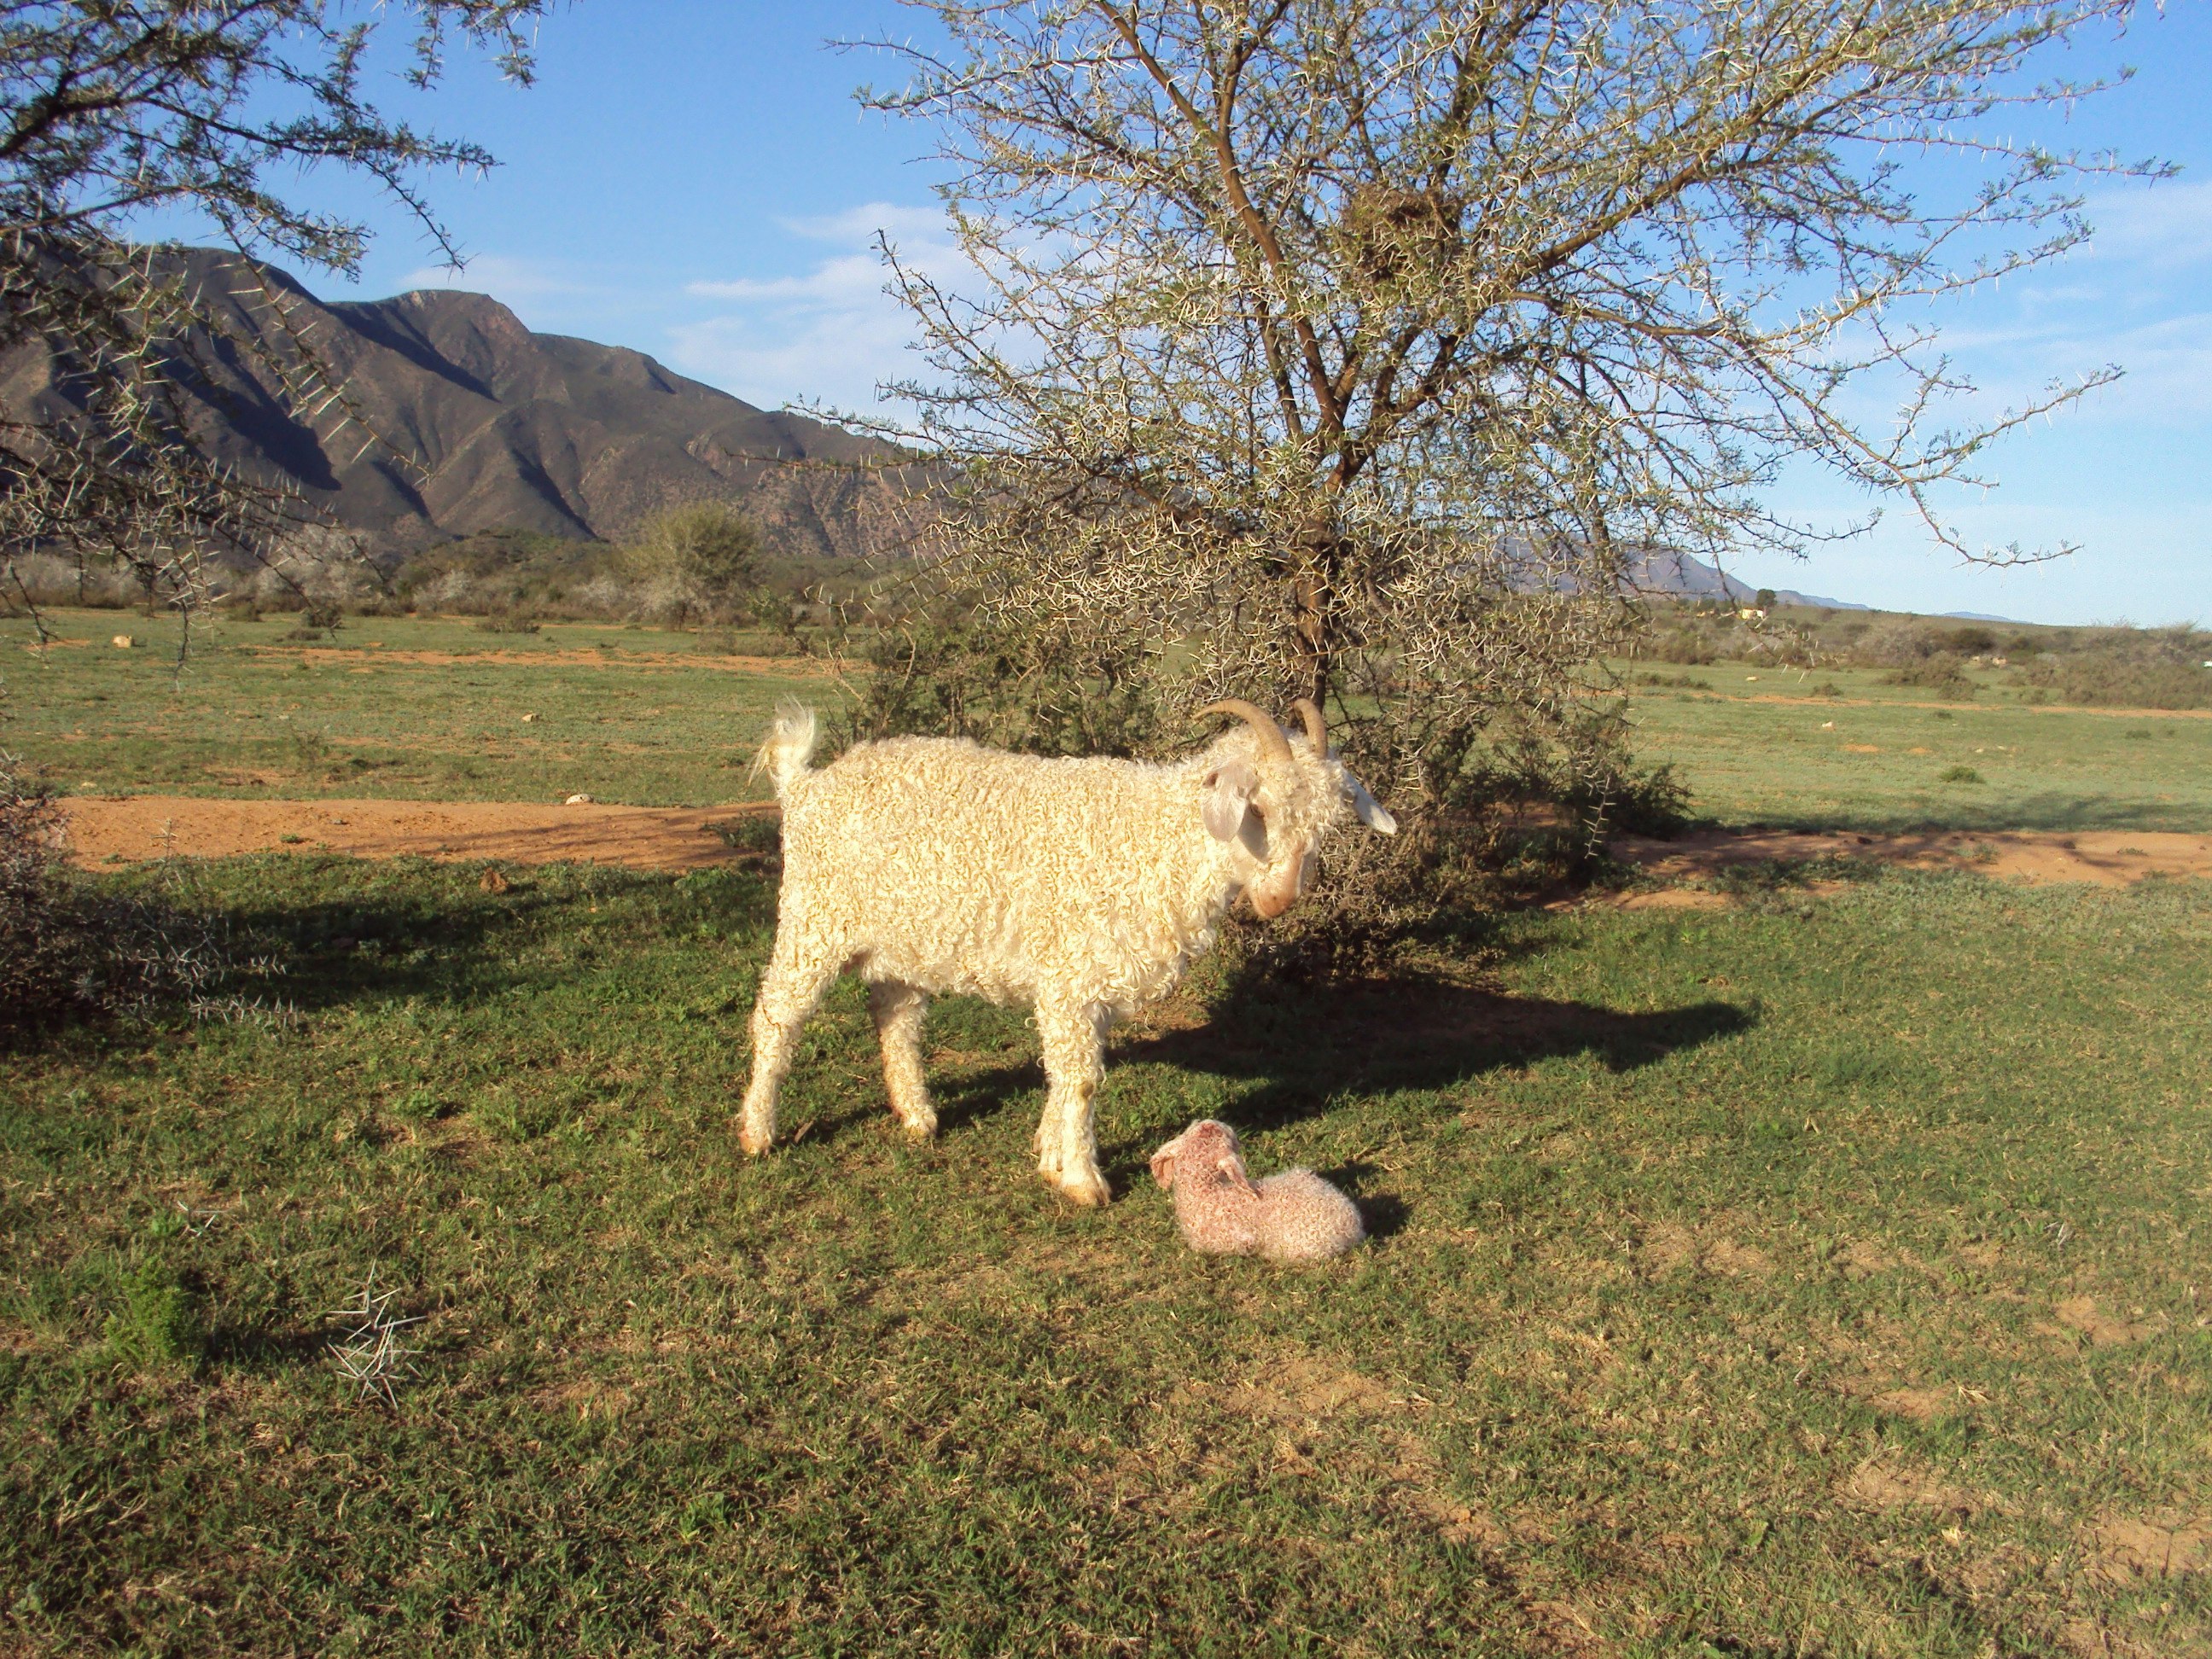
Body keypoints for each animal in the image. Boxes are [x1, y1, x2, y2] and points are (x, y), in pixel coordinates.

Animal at [738, 697, 1396, 1204]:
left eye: (1325, 825)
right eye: (1256, 806)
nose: (1281, 898)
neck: (1157, 841)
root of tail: (805, 785)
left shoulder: (1088, 990)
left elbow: (1066, 1077)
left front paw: (1052, 1157)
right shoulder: (1069, 980)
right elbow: (1079, 1083)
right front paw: (1083, 1181)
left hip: (905, 937)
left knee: (896, 1019)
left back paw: (917, 1116)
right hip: (814, 920)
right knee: (777, 1018)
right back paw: (757, 1131)